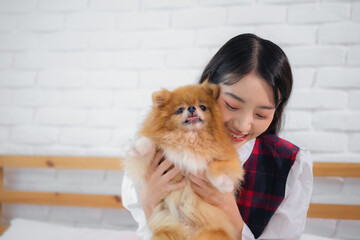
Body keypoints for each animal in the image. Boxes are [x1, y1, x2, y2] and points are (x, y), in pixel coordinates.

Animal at [124, 81, 245, 240]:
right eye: (180, 110)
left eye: (203, 107)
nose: (192, 108)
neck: (190, 138)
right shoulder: (154, 159)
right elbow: (149, 146)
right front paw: (137, 148)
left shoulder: (230, 159)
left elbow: (214, 166)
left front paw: (224, 184)